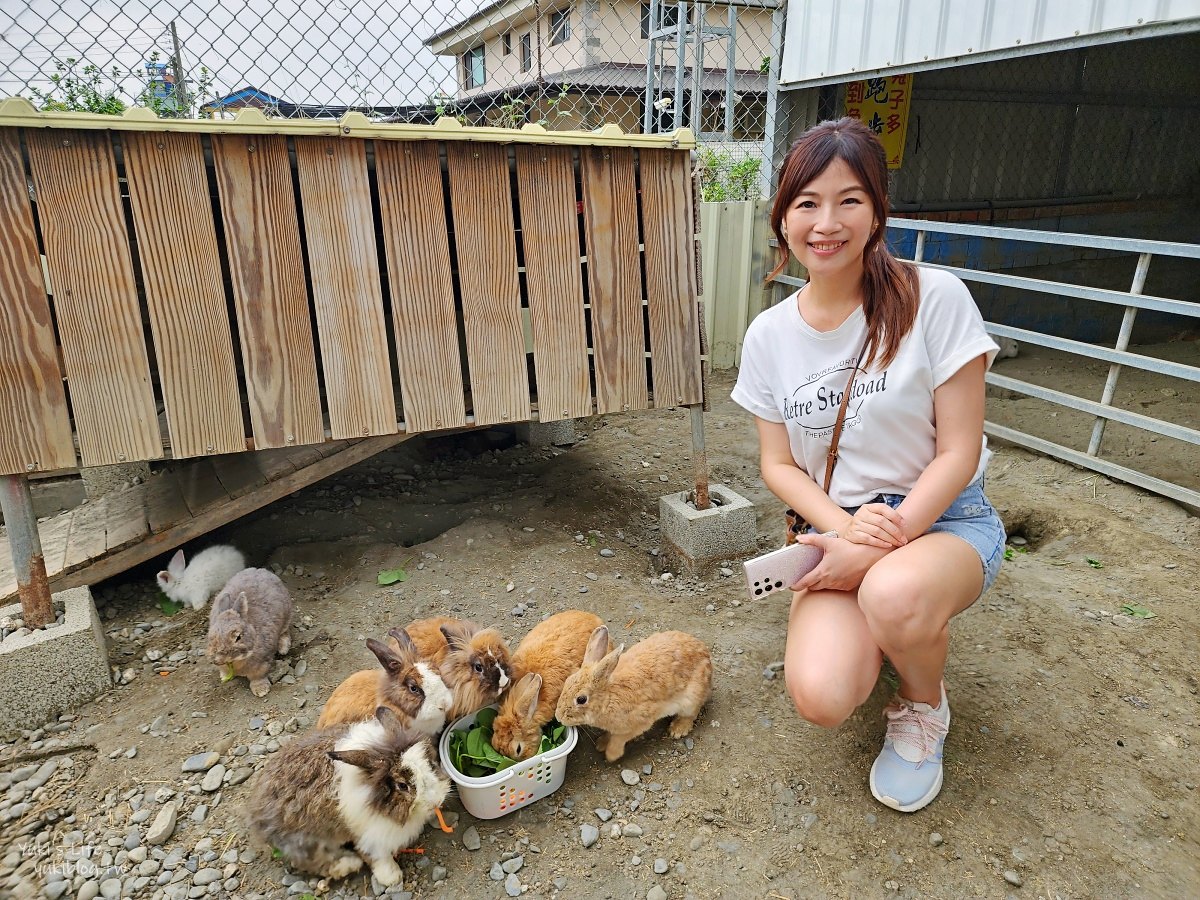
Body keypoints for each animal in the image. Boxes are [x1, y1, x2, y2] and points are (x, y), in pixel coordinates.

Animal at [247, 705, 451, 888]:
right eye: (402, 785)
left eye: (430, 764)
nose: (437, 802)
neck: (370, 786)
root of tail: (257, 810)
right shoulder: (369, 834)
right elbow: (376, 856)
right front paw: (392, 877)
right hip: (304, 840)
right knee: (313, 862)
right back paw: (350, 864)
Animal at [554, 628, 710, 763]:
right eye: (567, 681)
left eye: (581, 699)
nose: (559, 717)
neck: (608, 699)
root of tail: (706, 654)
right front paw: (601, 743)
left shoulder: (639, 723)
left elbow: (618, 739)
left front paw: (611, 755)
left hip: (691, 698)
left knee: (690, 714)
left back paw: (678, 730)